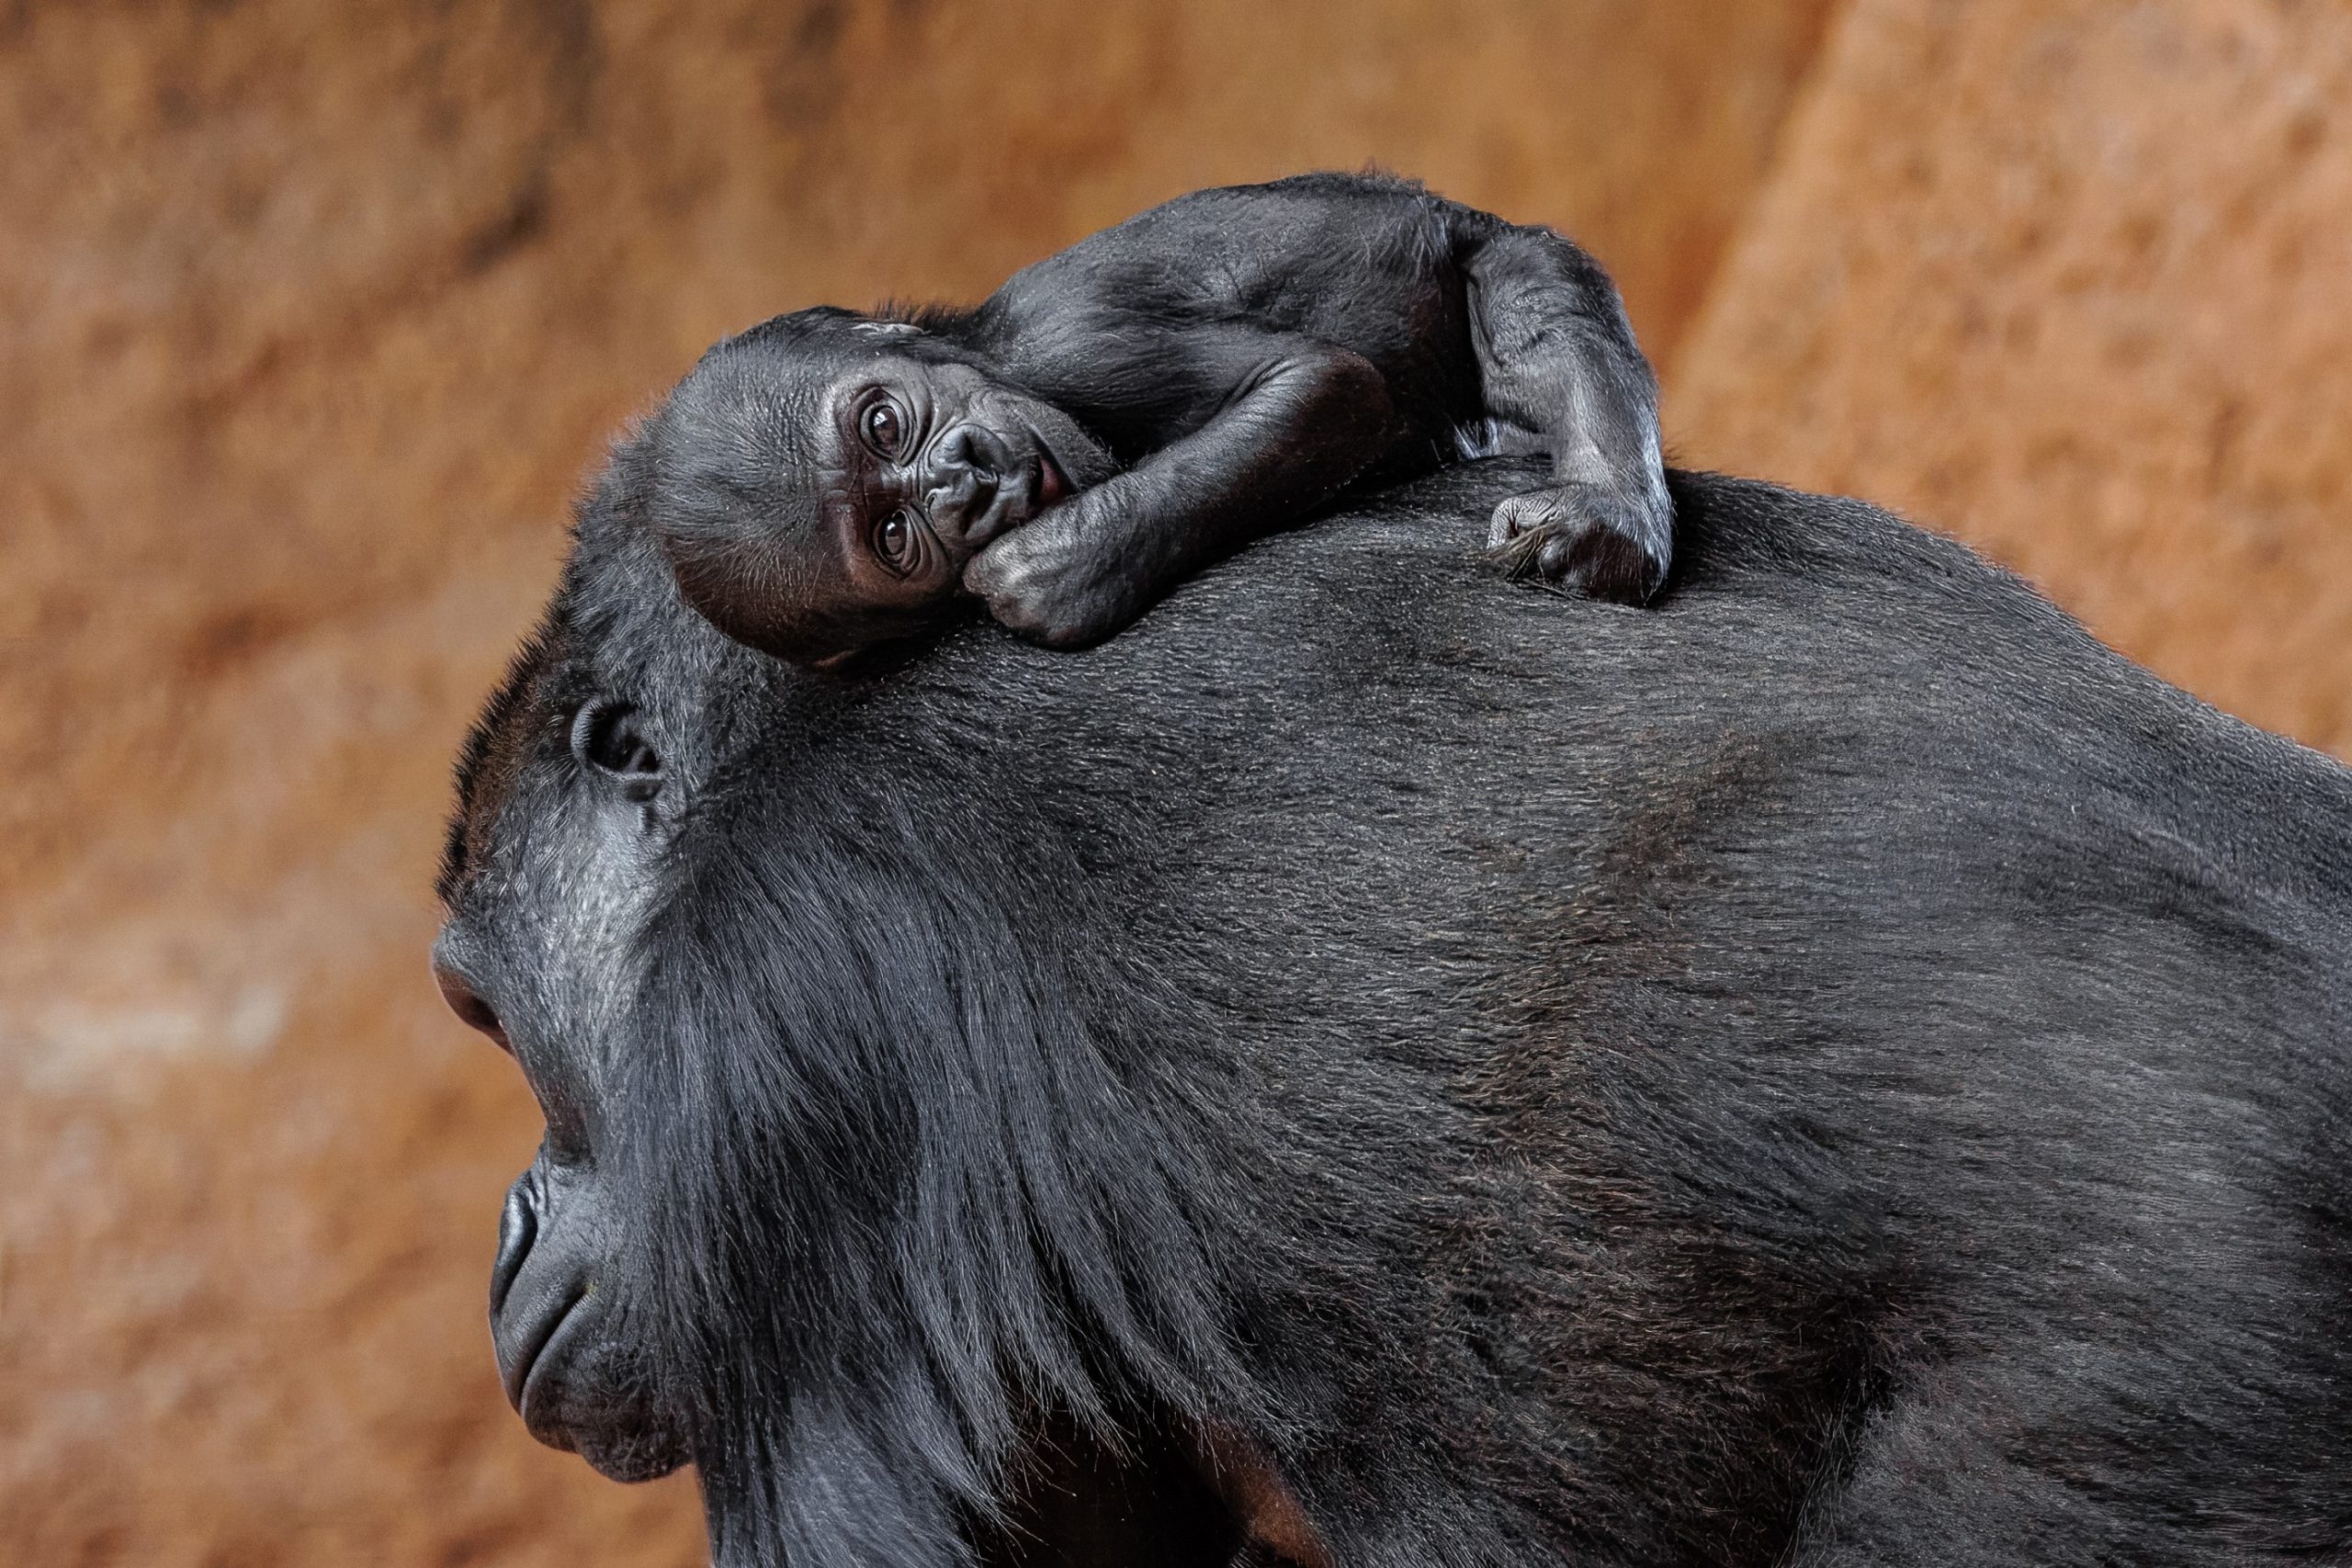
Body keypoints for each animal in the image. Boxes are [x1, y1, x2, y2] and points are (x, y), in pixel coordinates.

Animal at [644, 171, 1674, 662]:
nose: (962, 478)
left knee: (1538, 319)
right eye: (894, 536)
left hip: (1490, 242)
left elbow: (1320, 381)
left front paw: (1059, 570)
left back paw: (1606, 517)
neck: (983, 348)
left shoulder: (1076, 342)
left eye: (884, 425)